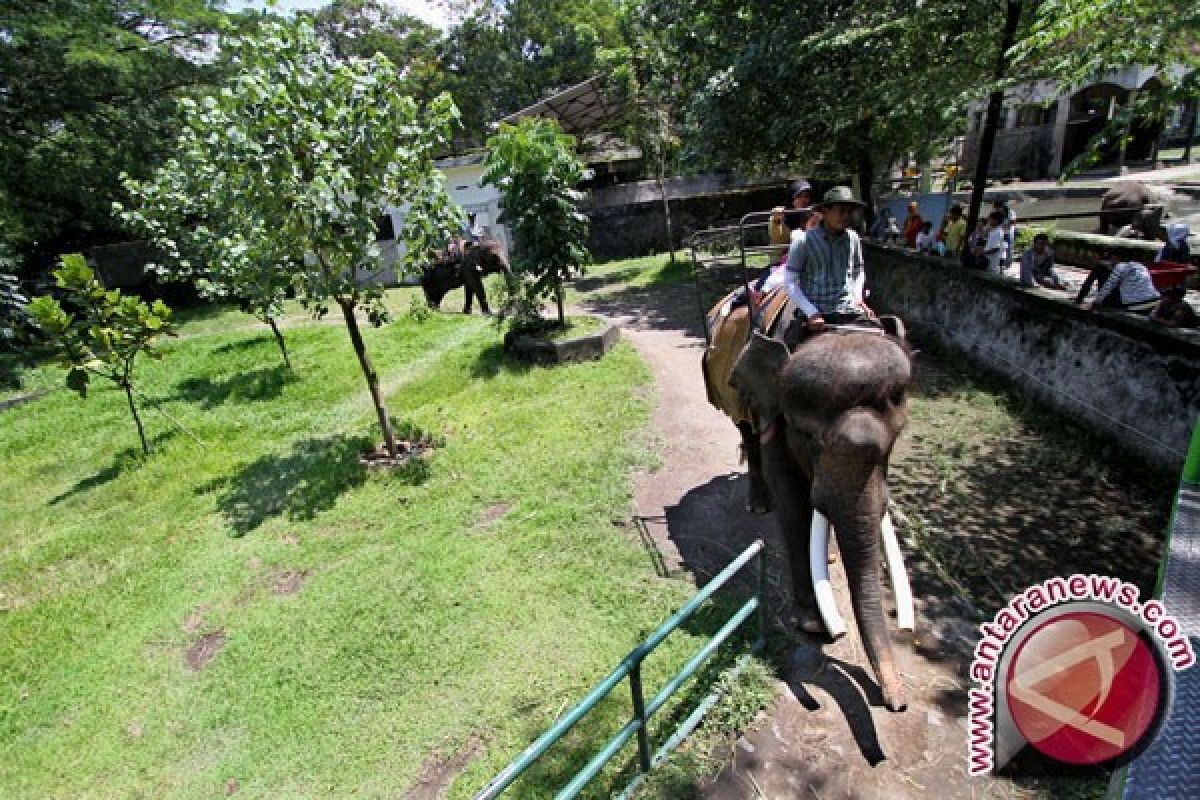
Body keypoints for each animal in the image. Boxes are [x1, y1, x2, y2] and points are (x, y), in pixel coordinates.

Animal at [724, 326, 912, 714]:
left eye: (897, 437)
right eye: (808, 437)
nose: (897, 705)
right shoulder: (777, 418)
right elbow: (793, 502)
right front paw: (812, 624)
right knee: (748, 431)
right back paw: (759, 505)